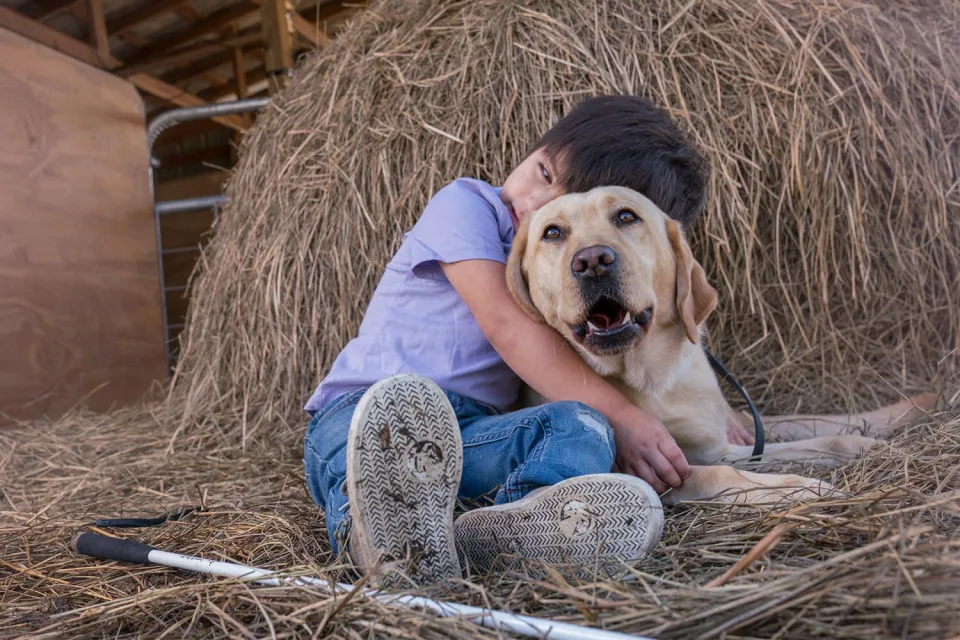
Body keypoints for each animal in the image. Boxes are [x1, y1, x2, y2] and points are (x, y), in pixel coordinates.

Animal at [510, 185, 936, 504]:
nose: (593, 261)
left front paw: (879, 447)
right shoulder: (659, 468)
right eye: (552, 233)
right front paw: (803, 489)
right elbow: (724, 474)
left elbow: (827, 437)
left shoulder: (719, 443)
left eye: (627, 217)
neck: (649, 378)